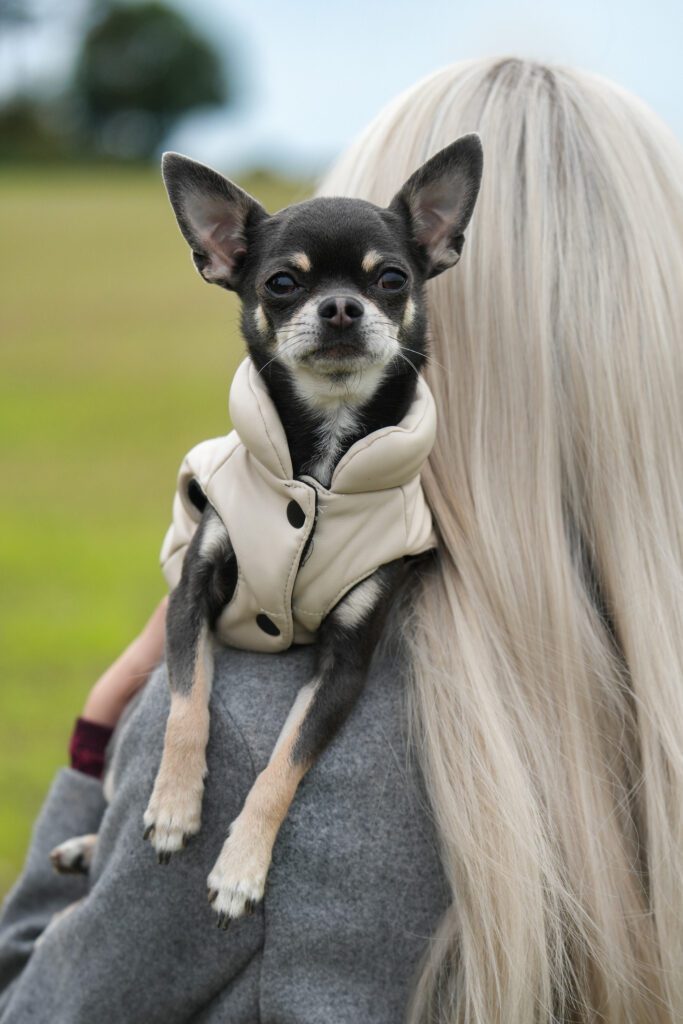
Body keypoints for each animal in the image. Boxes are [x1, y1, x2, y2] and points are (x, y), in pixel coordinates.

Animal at [50, 132, 483, 925]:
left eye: (392, 279)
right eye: (282, 283)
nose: (340, 306)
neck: (317, 467)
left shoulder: (343, 665)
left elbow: (284, 764)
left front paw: (242, 866)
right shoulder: (191, 596)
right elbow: (186, 705)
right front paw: (173, 806)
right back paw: (88, 845)